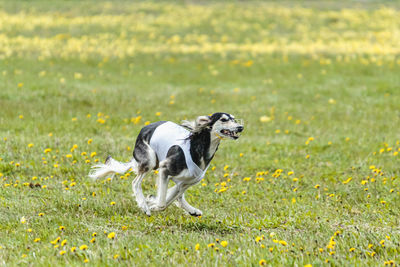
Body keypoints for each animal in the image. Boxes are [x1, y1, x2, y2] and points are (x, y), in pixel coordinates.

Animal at [88, 112, 242, 217]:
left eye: (234, 119)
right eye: (223, 119)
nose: (240, 127)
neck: (196, 147)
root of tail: (145, 128)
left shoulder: (187, 182)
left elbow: (171, 198)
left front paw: (152, 201)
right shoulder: (165, 169)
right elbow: (163, 203)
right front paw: (152, 206)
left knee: (179, 196)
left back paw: (193, 211)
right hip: (149, 160)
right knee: (135, 182)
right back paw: (144, 206)